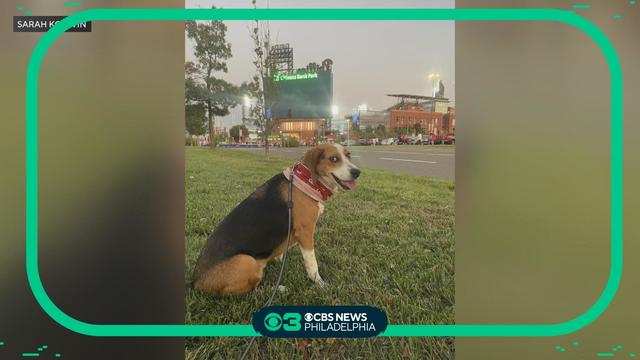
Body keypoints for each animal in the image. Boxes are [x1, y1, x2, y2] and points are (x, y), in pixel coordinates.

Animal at [190, 143, 360, 296]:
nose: (357, 172)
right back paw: (277, 289)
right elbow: (312, 264)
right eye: (334, 159)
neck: (306, 181)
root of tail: (195, 282)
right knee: (247, 291)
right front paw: (319, 283)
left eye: (349, 155)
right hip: (246, 261)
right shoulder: (305, 232)